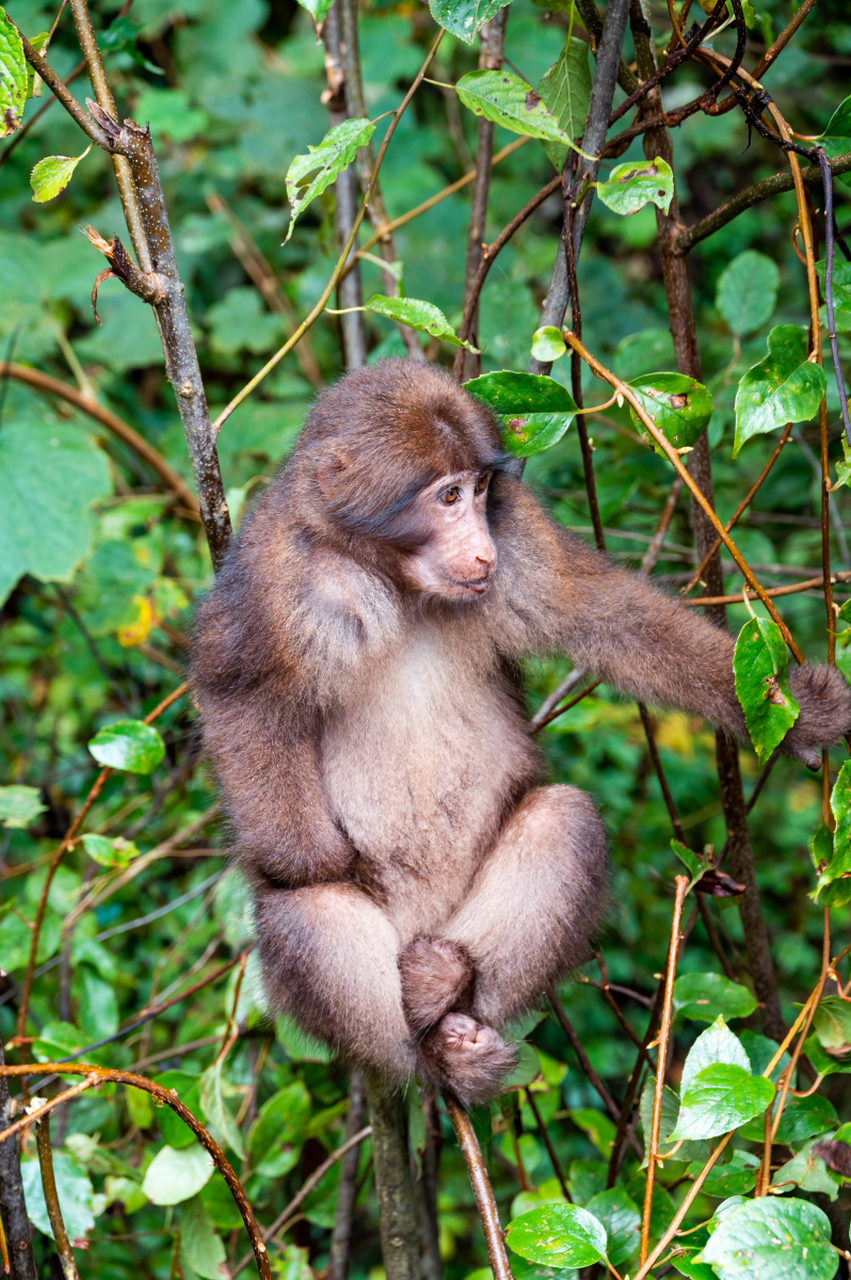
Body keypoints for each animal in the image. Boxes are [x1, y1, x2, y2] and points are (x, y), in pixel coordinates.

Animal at [190, 355, 849, 1105]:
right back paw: (427, 1053)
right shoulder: (271, 573)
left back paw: (452, 1002)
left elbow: (603, 613)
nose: (480, 546)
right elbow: (238, 693)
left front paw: (797, 711)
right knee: (311, 911)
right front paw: (309, 856)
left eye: (479, 492)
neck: (397, 584)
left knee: (562, 821)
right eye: (446, 497)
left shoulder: (518, 535)